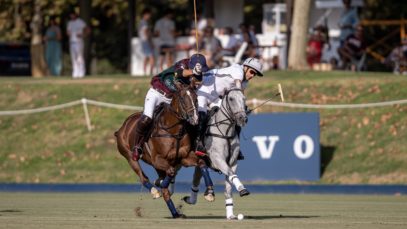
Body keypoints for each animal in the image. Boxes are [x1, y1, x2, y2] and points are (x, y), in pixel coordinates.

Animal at [115, 82, 215, 218]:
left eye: (196, 98)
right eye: (182, 98)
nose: (194, 119)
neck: (173, 130)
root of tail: (122, 127)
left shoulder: (183, 157)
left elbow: (201, 163)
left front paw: (210, 192)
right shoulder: (158, 159)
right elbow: (170, 173)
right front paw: (161, 184)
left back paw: (175, 212)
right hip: (130, 157)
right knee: (143, 177)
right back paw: (155, 191)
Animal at [184, 88, 249, 220]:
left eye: (244, 98)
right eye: (231, 99)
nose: (242, 118)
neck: (225, 132)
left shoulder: (232, 162)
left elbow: (229, 184)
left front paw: (230, 214)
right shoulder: (218, 159)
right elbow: (231, 174)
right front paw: (242, 189)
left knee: (197, 176)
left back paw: (195, 198)